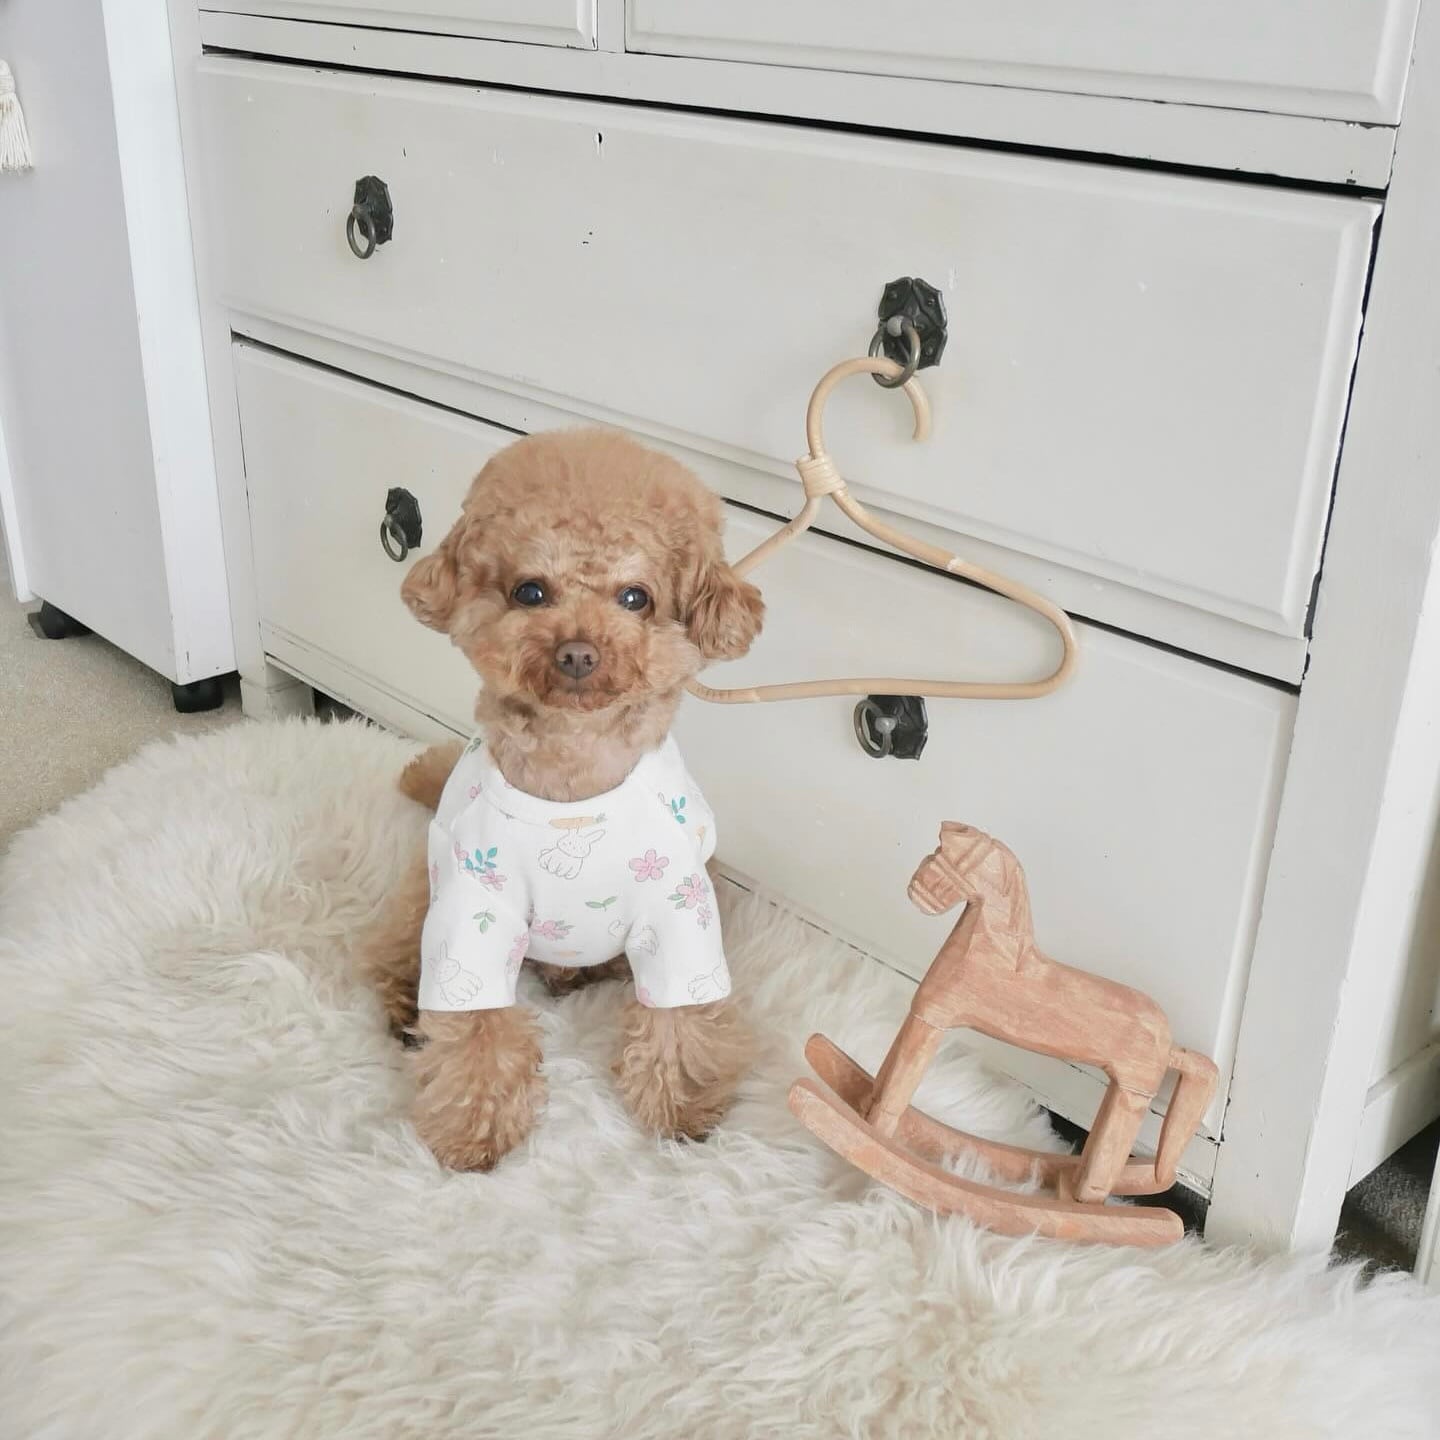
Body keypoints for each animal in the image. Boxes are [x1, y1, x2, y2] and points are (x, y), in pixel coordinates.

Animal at [357, 428, 764, 1171]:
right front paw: (476, 1132)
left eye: (635, 597)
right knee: (397, 950)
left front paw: (685, 1110)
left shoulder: (680, 912)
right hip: (426, 893)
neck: (573, 788)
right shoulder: (472, 912)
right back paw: (405, 1012)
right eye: (530, 590)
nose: (578, 652)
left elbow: (681, 1014)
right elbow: (474, 1024)